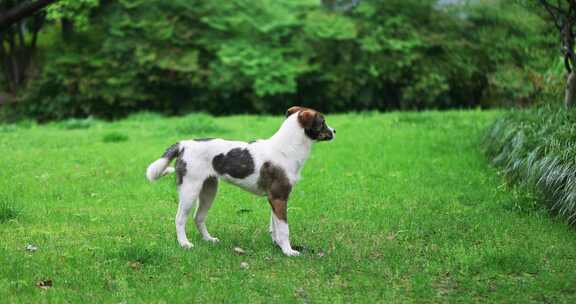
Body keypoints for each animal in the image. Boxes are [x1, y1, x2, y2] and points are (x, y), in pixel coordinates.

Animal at [146, 105, 336, 255]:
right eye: (323, 121)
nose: (334, 131)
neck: (287, 148)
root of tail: (184, 144)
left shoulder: (274, 199)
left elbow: (274, 227)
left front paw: (278, 246)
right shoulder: (279, 197)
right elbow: (284, 229)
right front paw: (289, 251)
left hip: (209, 190)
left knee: (198, 217)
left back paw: (209, 239)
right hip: (190, 191)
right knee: (180, 219)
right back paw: (184, 244)